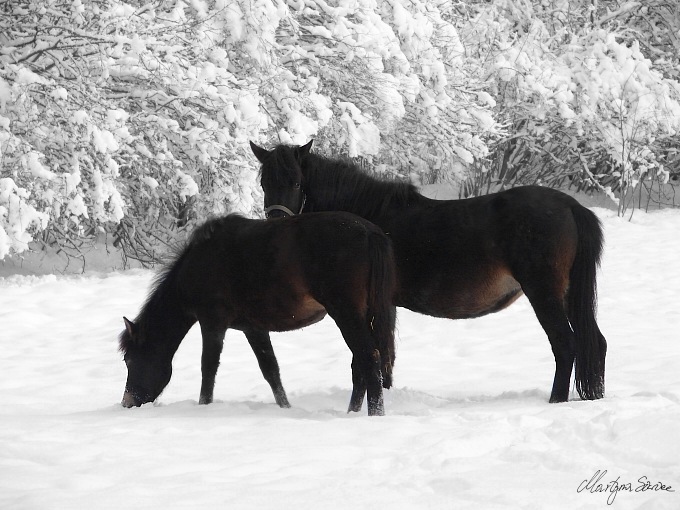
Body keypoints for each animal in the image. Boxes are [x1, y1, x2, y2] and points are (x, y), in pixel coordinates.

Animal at [120, 211, 398, 414]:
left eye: (130, 360)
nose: (127, 403)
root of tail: (370, 232)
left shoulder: (212, 323)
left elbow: (208, 369)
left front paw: (204, 407)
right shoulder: (254, 328)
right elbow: (271, 371)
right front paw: (285, 408)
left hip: (346, 314)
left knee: (368, 359)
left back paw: (374, 414)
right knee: (360, 365)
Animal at [252, 139, 608, 402]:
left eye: (296, 182)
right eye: (264, 183)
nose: (276, 224)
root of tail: (571, 206)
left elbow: (368, 358)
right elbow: (385, 355)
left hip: (544, 292)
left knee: (565, 344)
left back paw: (556, 400)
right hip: (568, 294)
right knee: (595, 342)